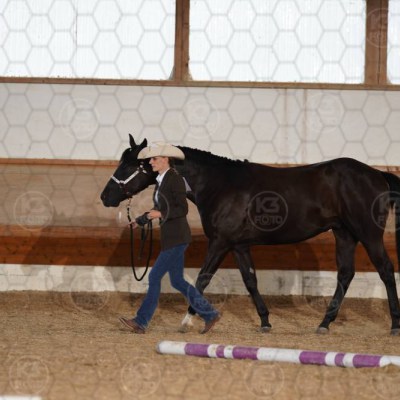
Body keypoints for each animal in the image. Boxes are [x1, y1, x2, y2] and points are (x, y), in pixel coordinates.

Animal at [101, 134, 400, 335]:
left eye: (130, 165)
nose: (105, 197)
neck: (220, 184)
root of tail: (377, 175)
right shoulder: (239, 245)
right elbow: (250, 281)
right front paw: (265, 321)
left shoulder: (220, 243)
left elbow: (202, 279)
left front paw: (188, 321)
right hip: (344, 234)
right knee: (346, 274)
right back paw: (324, 323)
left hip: (368, 234)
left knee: (385, 270)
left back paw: (394, 325)